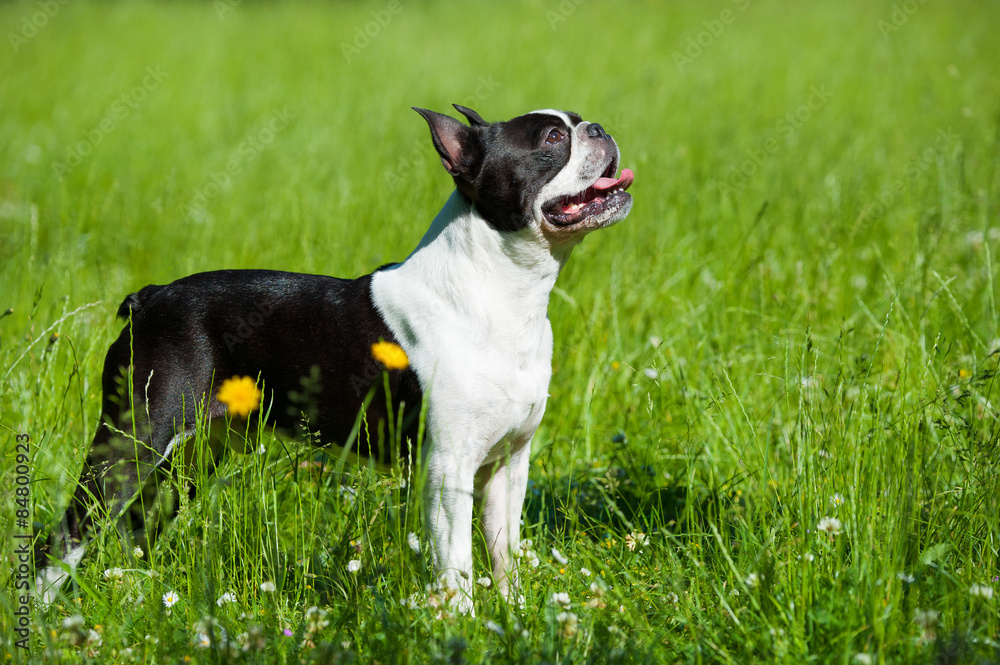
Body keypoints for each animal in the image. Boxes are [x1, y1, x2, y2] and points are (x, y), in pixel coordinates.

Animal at [41, 106, 632, 608]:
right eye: (552, 139)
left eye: (577, 122)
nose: (600, 128)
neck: (502, 292)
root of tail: (151, 297)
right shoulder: (449, 467)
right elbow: (456, 559)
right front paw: (461, 620)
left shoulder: (509, 464)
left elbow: (504, 551)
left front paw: (513, 615)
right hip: (132, 442)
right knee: (67, 534)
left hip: (192, 456)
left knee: (135, 527)